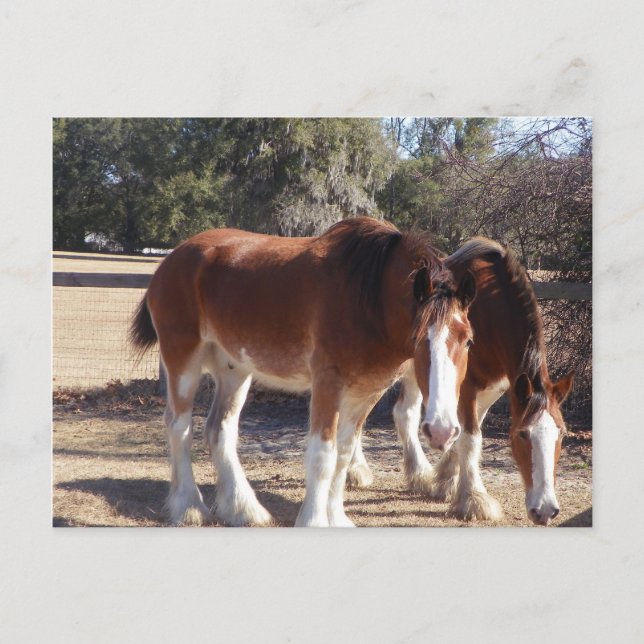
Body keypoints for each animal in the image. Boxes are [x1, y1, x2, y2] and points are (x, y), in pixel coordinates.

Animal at [129, 217, 477, 527]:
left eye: (468, 340)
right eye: (418, 339)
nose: (442, 430)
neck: (368, 296)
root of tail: (172, 258)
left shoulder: (366, 393)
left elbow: (343, 456)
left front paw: (336, 519)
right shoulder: (327, 384)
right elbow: (323, 455)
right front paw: (313, 521)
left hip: (234, 370)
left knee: (220, 430)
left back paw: (243, 510)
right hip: (183, 360)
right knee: (179, 427)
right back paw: (189, 507)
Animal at [348, 237, 574, 526]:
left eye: (562, 433)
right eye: (522, 434)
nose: (545, 510)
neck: (491, 311)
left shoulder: (491, 390)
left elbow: (463, 435)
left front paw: (445, 479)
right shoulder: (466, 389)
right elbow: (471, 438)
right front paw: (473, 498)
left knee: (404, 413)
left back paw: (420, 475)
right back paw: (356, 470)